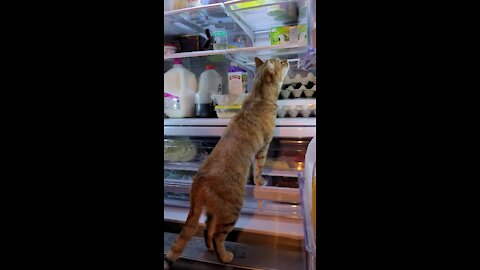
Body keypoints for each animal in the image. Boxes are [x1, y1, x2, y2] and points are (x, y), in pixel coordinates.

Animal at [164, 58, 288, 268]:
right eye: (280, 62)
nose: (287, 60)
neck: (258, 97)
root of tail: (198, 181)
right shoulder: (263, 149)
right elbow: (259, 169)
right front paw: (260, 181)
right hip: (232, 209)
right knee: (217, 236)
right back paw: (225, 256)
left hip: (214, 212)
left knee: (207, 229)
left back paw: (211, 249)